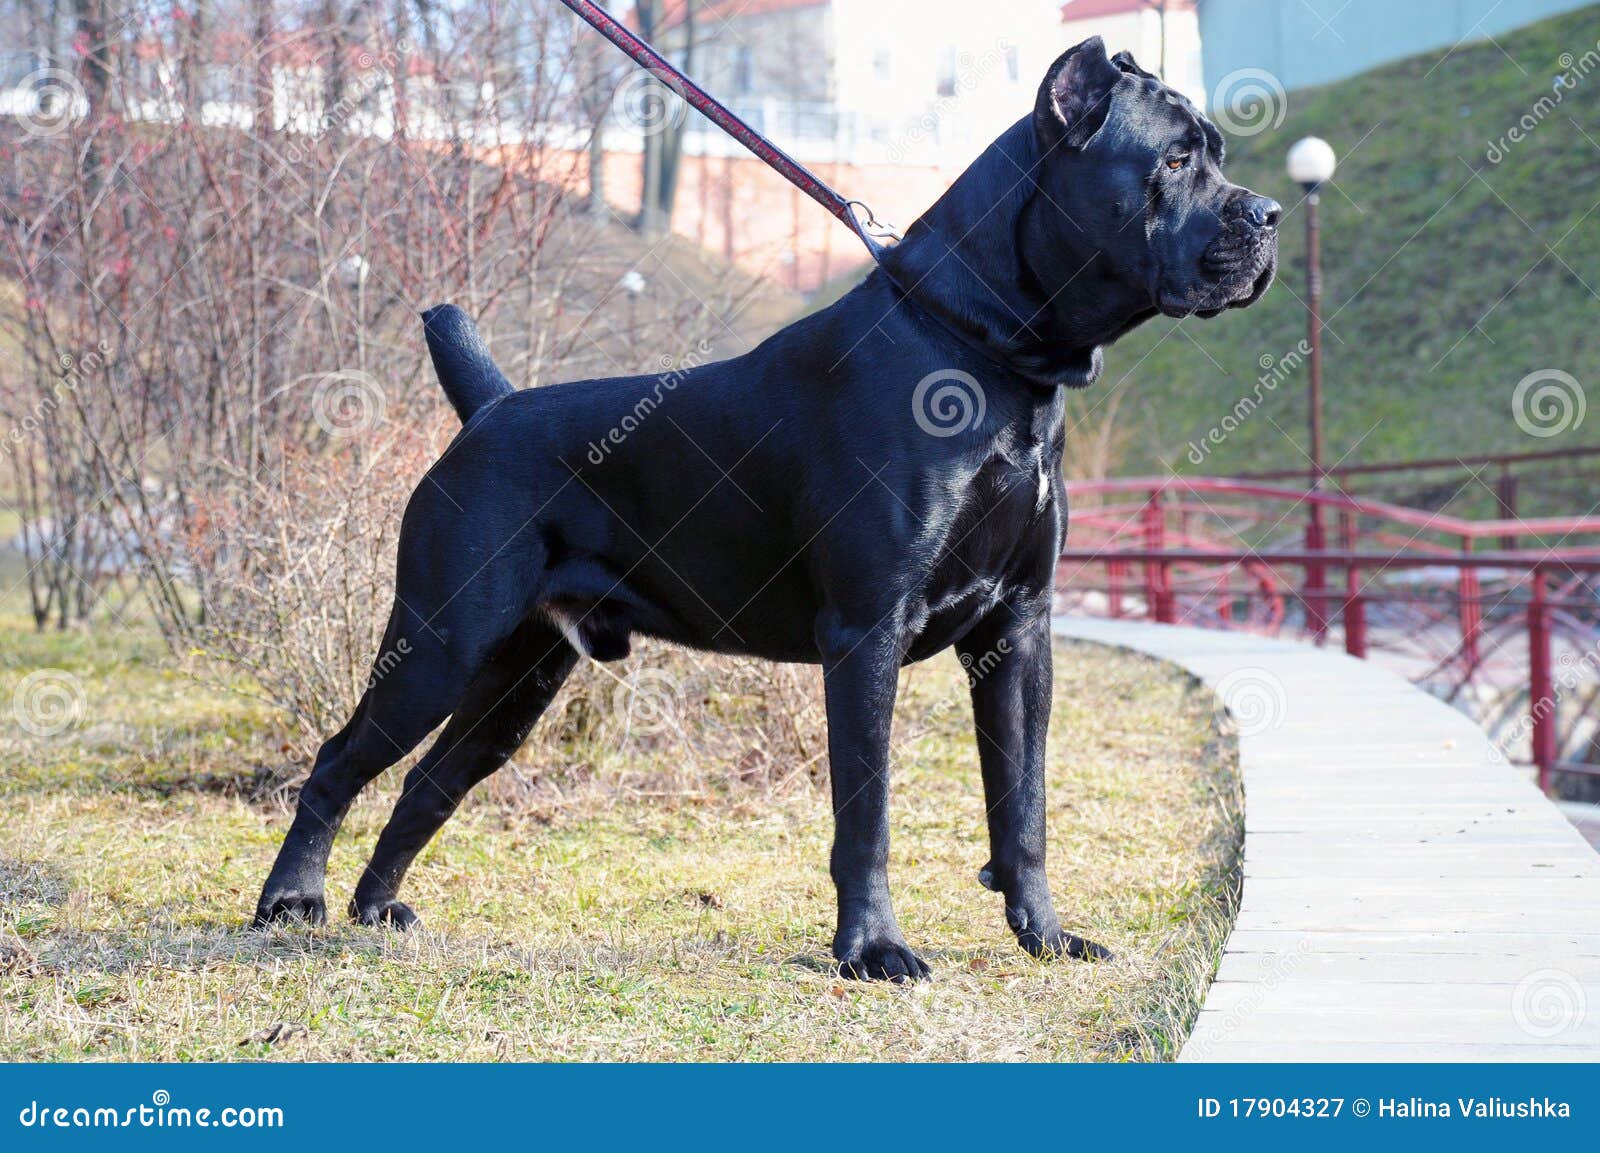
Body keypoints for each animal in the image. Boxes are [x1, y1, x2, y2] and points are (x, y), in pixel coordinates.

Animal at [256, 35, 1280, 978]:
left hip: (518, 677)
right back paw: (291, 902)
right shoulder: (867, 631)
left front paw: (1046, 936)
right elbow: (867, 811)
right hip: (439, 642)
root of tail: (491, 408)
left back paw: (376, 909)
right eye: (1175, 160)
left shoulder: (1020, 629)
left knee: (427, 781)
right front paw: (873, 949)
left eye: (1217, 151)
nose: (1268, 214)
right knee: (339, 760)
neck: (987, 356)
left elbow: (1021, 803)